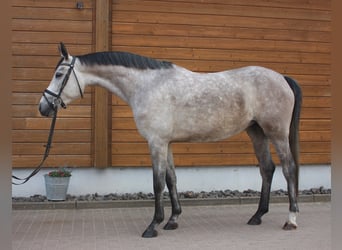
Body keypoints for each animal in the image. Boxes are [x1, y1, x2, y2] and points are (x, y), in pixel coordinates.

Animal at [39, 43, 302, 238]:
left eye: (59, 74)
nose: (43, 107)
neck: (148, 85)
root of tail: (282, 78)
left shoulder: (156, 142)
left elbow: (157, 183)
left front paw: (153, 226)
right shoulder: (167, 143)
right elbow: (171, 179)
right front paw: (173, 220)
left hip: (277, 133)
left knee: (288, 168)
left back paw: (291, 219)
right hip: (257, 133)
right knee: (267, 168)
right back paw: (257, 216)